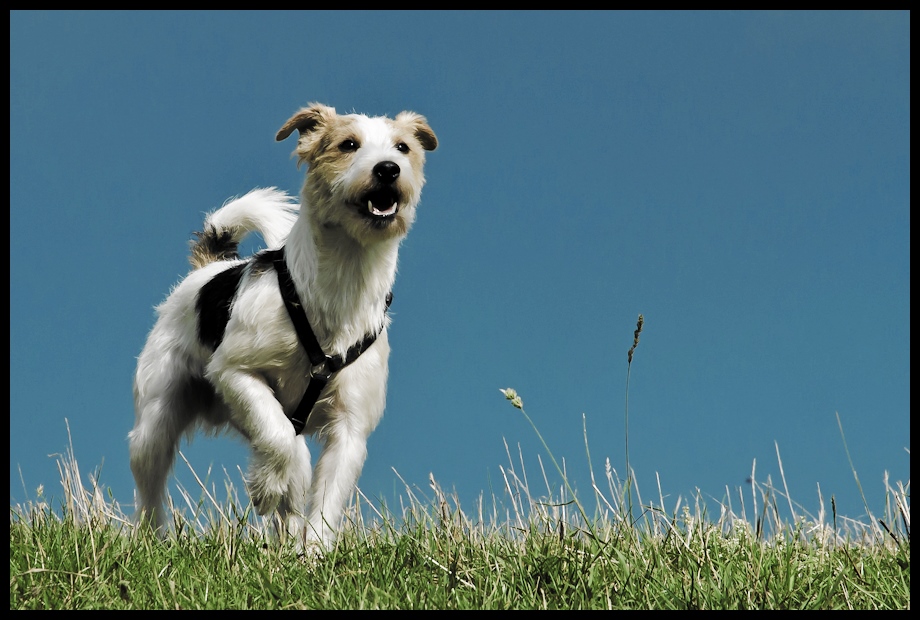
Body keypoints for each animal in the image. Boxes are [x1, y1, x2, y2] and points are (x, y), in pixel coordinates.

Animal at [128, 103, 438, 548]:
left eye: (403, 147)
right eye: (348, 145)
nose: (388, 169)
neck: (342, 282)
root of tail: (211, 266)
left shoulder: (350, 428)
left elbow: (325, 500)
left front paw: (314, 554)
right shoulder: (234, 372)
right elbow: (279, 437)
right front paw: (271, 484)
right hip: (156, 419)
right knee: (151, 483)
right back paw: (151, 540)